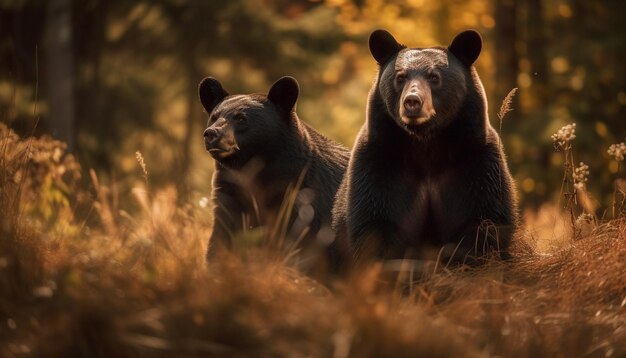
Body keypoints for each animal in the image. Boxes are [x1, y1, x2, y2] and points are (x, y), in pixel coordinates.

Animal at [199, 76, 348, 272]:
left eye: (241, 118)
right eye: (214, 117)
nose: (211, 134)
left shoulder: (304, 201)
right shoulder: (231, 193)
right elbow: (224, 236)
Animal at [332, 30, 516, 266]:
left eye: (434, 77)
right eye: (400, 77)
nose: (412, 101)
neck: (425, 144)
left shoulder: (475, 159)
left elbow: (483, 219)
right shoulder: (380, 159)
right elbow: (376, 219)